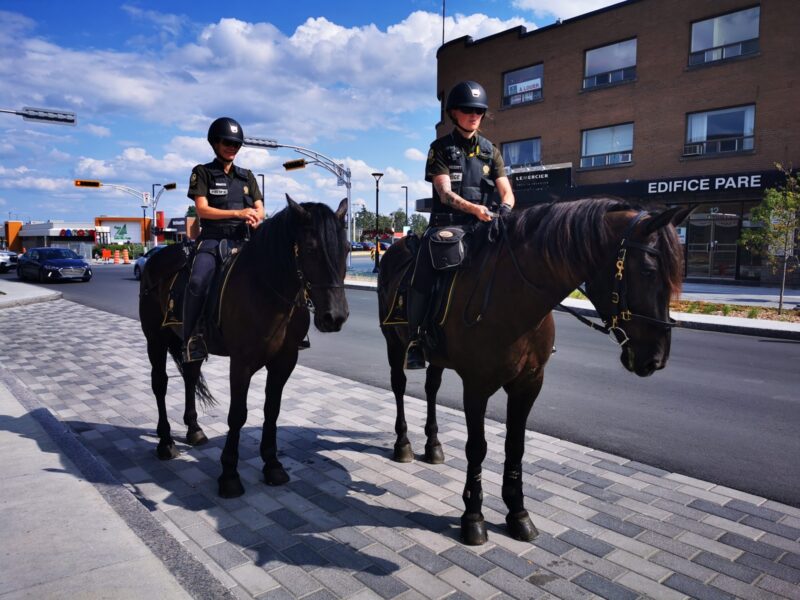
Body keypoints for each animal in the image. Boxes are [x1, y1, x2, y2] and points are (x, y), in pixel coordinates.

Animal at [138, 197, 350, 496]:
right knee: (160, 383)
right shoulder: (241, 363)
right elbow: (237, 414)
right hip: (154, 339)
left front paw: (272, 464)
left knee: (190, 376)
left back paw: (193, 429)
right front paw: (229, 473)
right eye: (310, 248)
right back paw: (166, 441)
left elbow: (272, 410)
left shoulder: (284, 362)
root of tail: (157, 256)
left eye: (346, 249)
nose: (335, 316)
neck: (267, 289)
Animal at [378, 199, 692, 548]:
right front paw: (473, 516)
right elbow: (477, 448)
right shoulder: (476, 385)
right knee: (399, 387)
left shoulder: (529, 383)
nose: (656, 358)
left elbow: (516, 447)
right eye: (649, 271)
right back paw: (403, 444)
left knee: (431, 389)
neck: (513, 295)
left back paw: (433, 445)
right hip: (394, 343)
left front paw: (517, 513)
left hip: (436, 358)